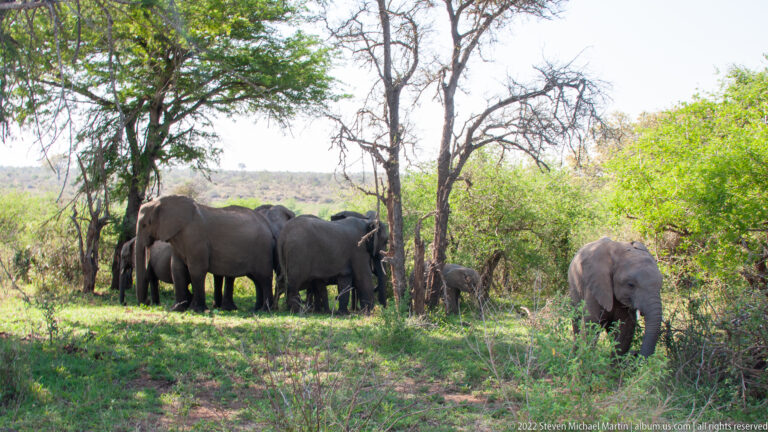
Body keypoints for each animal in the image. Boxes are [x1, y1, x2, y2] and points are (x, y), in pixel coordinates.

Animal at [135, 195, 275, 312]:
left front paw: (196, 310)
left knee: (264, 278)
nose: (146, 303)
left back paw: (265, 310)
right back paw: (256, 309)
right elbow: (177, 269)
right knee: (256, 279)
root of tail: (268, 225)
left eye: (144, 225)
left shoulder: (196, 239)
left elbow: (196, 269)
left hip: (262, 249)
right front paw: (176, 309)